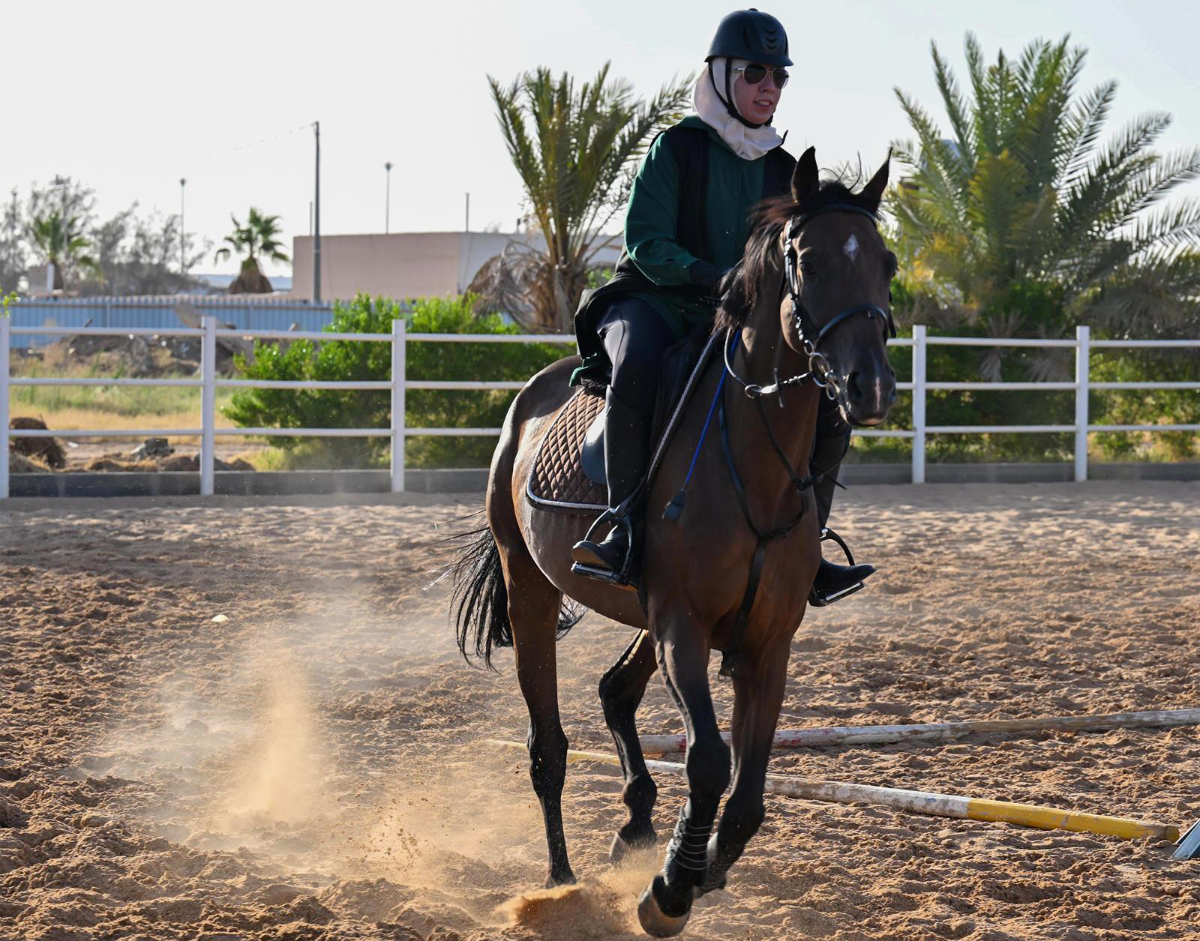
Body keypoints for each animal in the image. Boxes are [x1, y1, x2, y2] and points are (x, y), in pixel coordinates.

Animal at [451, 147, 902, 931]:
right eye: (810, 263)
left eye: (887, 262)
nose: (867, 387)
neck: (752, 462)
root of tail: (527, 400)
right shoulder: (682, 626)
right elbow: (708, 761)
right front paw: (669, 890)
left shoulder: (764, 643)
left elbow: (748, 794)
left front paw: (701, 869)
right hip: (530, 585)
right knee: (548, 745)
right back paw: (561, 879)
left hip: (643, 610)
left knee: (613, 692)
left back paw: (635, 822)